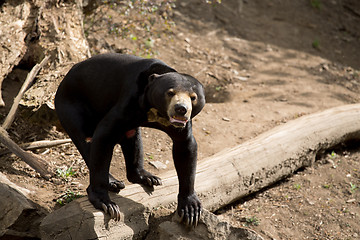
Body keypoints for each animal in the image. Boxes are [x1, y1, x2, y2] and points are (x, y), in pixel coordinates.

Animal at [54, 53, 205, 227]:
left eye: (193, 97)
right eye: (170, 93)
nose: (181, 109)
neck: (155, 112)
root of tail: (64, 78)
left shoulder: (182, 125)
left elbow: (186, 148)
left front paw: (190, 209)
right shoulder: (128, 102)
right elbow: (104, 135)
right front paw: (107, 204)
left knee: (132, 137)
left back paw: (148, 177)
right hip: (71, 107)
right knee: (86, 140)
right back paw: (113, 182)